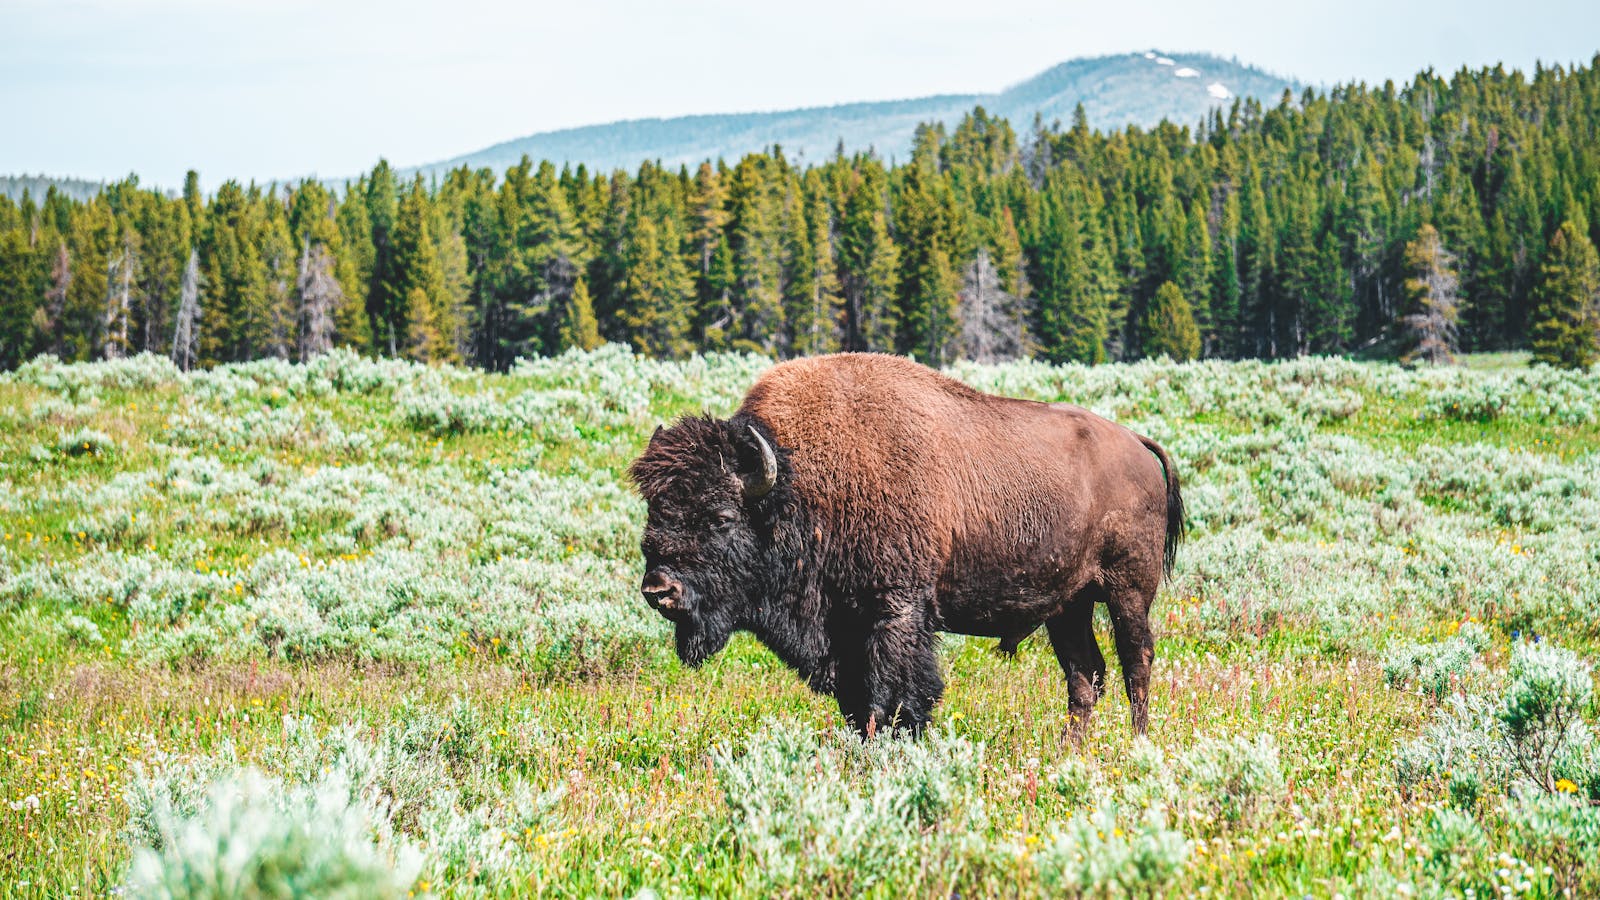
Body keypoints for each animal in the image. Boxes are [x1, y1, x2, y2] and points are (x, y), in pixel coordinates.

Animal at [629, 353, 1182, 740]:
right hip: (1068, 606)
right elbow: (858, 704)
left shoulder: (895, 611)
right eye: (654, 512)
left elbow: (895, 696)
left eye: (721, 518)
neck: (797, 483)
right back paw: (1072, 749)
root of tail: (1136, 442)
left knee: (1136, 661)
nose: (659, 590)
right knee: (1084, 675)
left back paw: (1137, 744)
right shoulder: (845, 632)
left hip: (1127, 591)